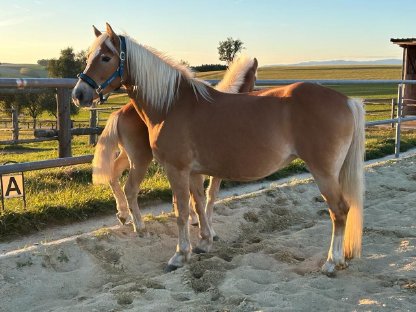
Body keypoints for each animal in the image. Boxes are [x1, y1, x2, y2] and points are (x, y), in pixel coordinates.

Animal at [92, 54, 258, 234]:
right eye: (255, 77)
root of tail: (119, 112)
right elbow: (210, 193)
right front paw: (206, 226)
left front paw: (194, 220)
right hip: (139, 158)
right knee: (129, 187)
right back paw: (139, 224)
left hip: (127, 155)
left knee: (113, 172)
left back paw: (123, 214)